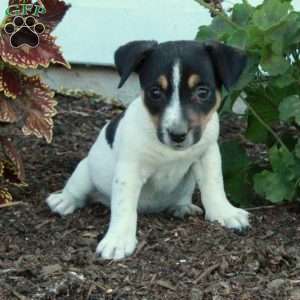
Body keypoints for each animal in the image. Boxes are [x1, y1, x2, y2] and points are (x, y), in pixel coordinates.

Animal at [46, 39, 248, 260]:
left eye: (202, 92)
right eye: (155, 92)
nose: (177, 135)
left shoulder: (207, 154)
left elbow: (214, 185)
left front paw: (224, 213)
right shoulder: (130, 170)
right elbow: (124, 206)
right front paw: (118, 240)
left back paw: (182, 206)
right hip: (85, 172)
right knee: (76, 190)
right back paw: (63, 201)